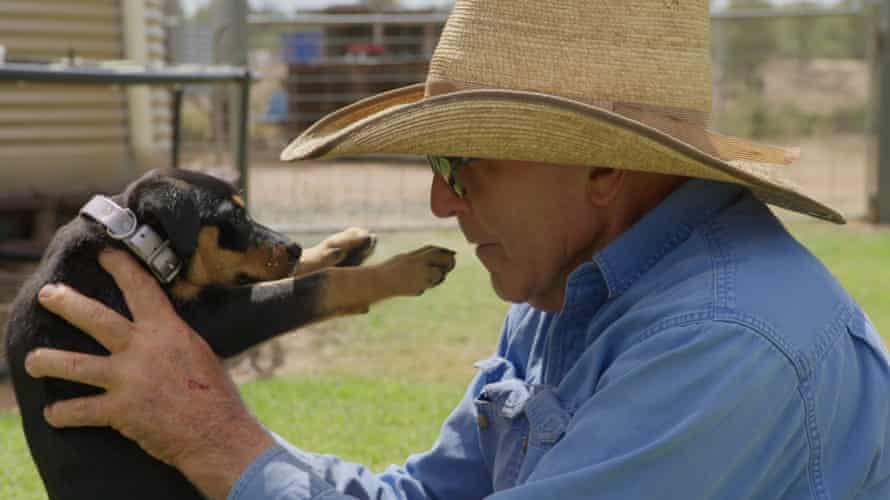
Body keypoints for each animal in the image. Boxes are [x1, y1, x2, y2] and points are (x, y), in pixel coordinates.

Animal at [3, 169, 454, 500]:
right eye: (233, 218)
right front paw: (409, 267)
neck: (137, 242)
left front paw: (344, 244)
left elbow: (295, 276)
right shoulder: (210, 318)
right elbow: (317, 286)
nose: (292, 245)